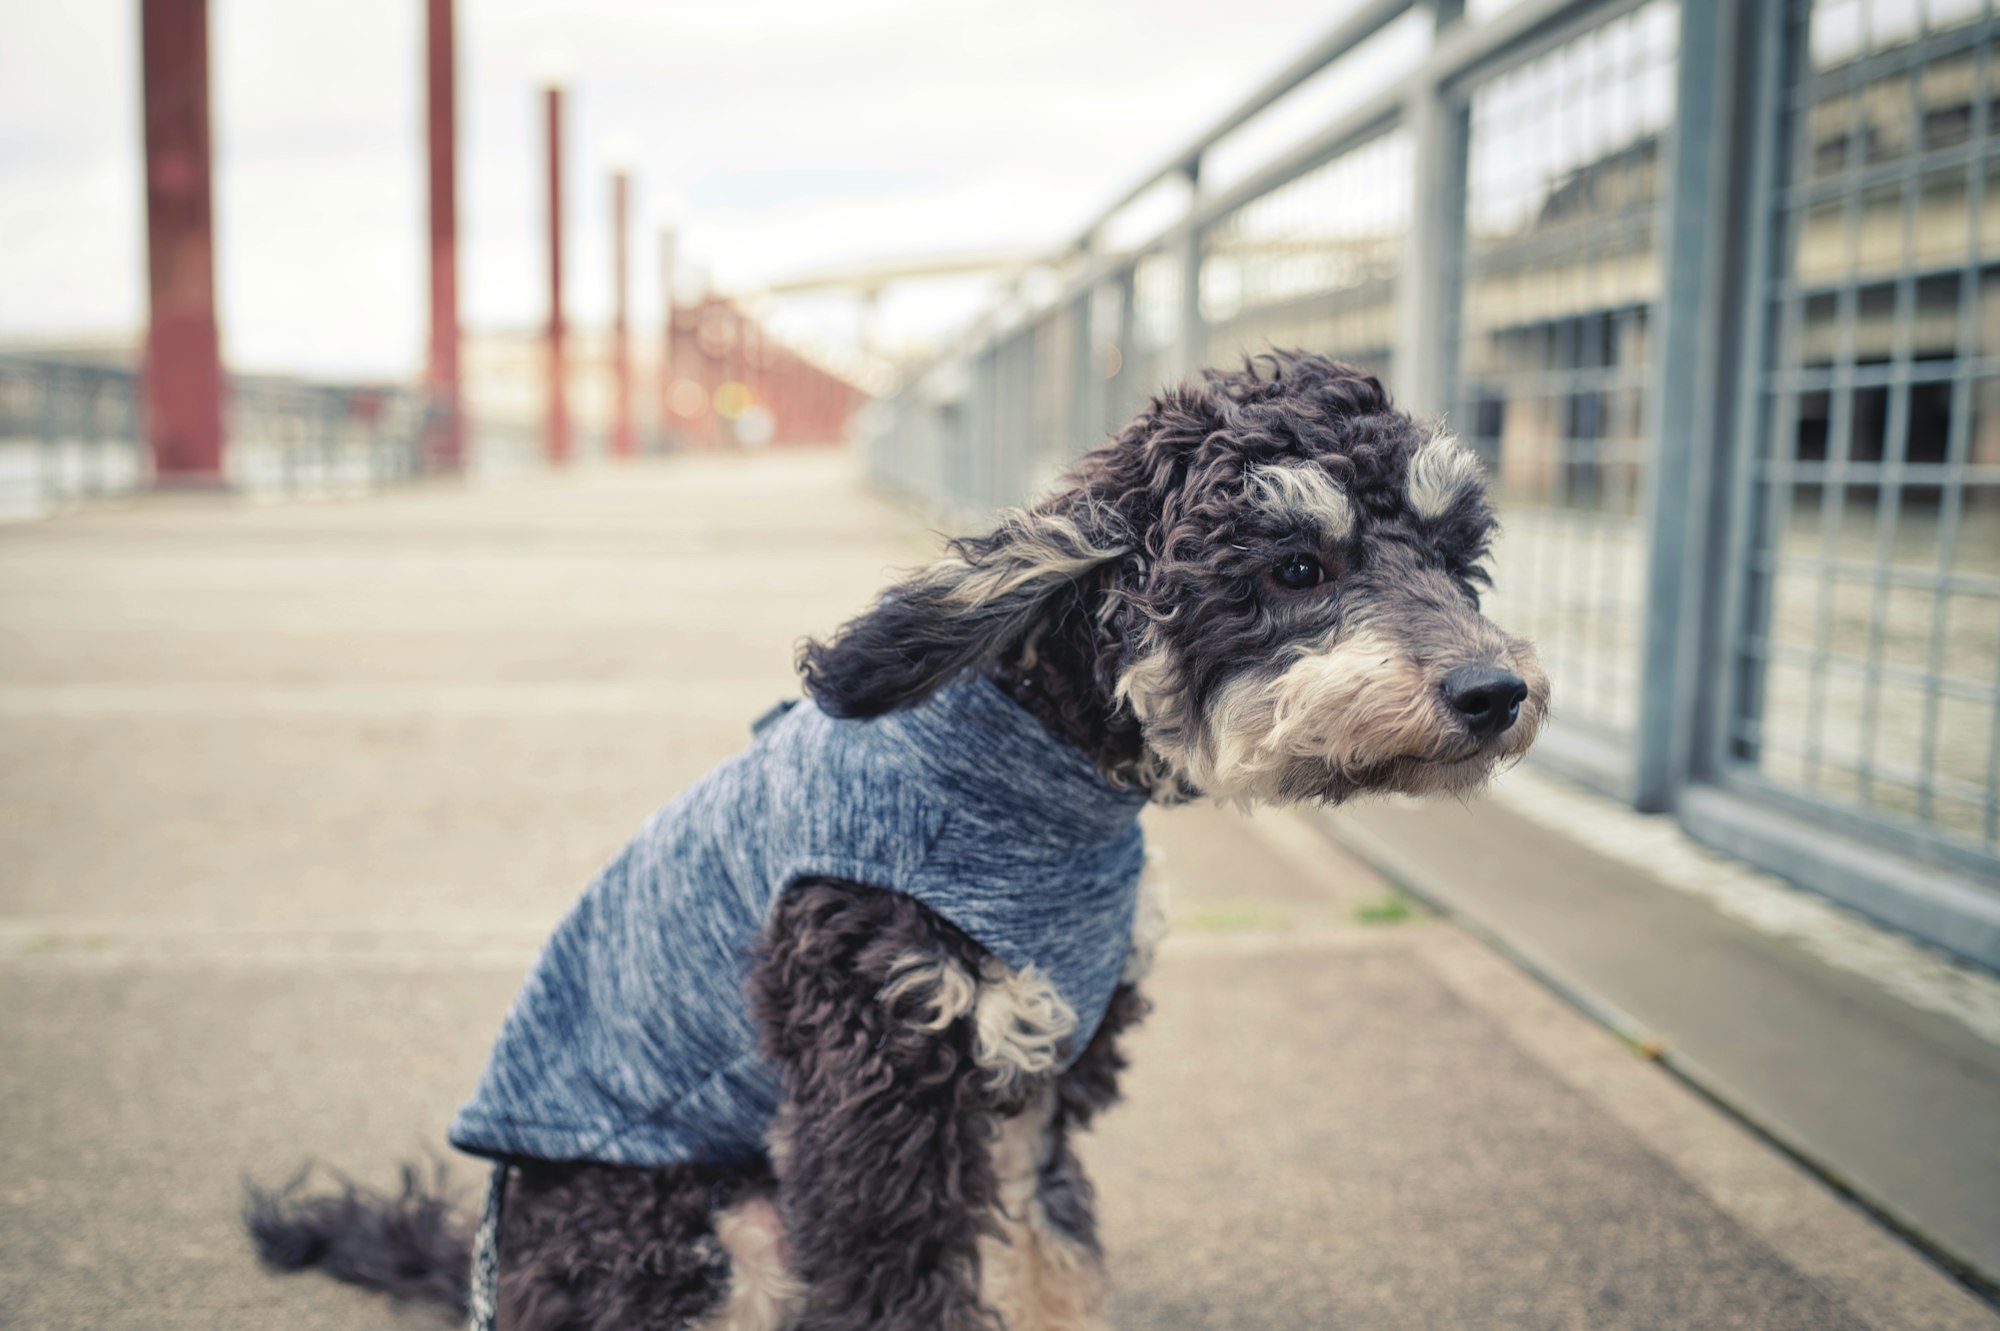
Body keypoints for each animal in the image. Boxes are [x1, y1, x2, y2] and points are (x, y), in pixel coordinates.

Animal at [250, 355, 1544, 1327]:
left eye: (1456, 557)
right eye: (1294, 566)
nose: (1496, 691)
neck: (1043, 773)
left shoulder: (1038, 1079)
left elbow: (1053, 1251)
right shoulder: (880, 1090)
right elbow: (897, 1284)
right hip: (703, 1232)